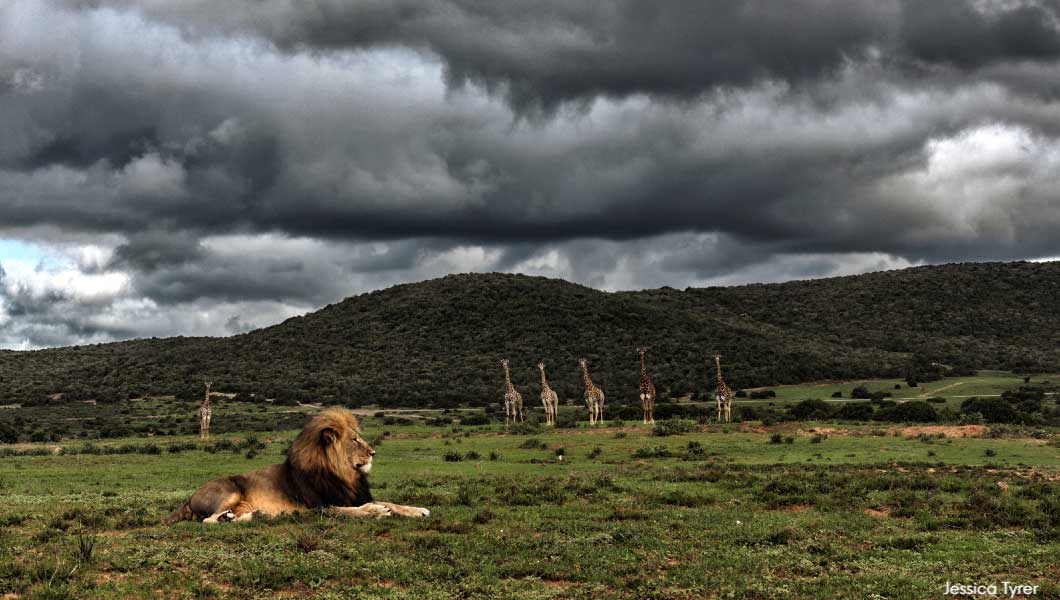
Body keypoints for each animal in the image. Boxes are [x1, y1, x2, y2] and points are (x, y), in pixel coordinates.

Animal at [167, 407, 428, 523]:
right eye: (355, 440)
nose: (373, 452)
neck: (344, 475)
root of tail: (189, 497)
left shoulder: (355, 494)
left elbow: (390, 502)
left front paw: (418, 510)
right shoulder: (317, 507)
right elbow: (346, 510)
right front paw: (374, 511)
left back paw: (254, 515)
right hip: (229, 491)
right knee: (208, 520)